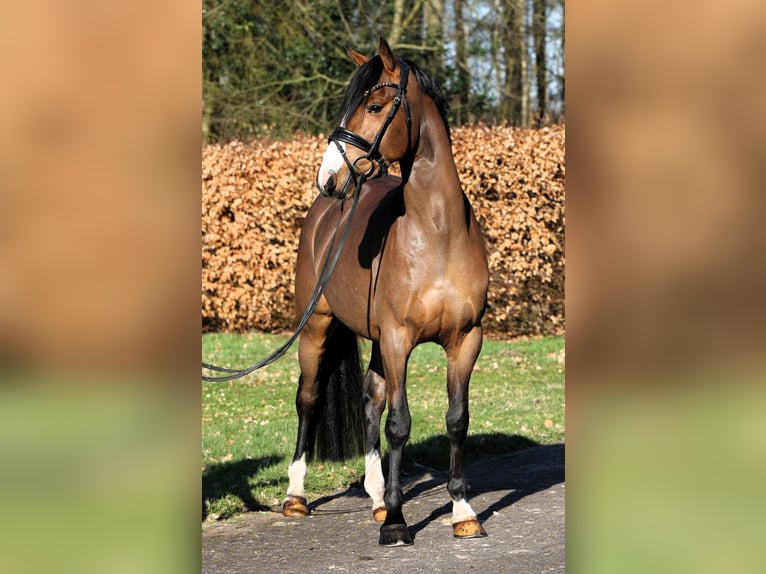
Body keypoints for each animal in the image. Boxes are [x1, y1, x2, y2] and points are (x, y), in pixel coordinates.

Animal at [281, 38, 490, 547]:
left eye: (374, 107)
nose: (329, 178)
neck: (437, 233)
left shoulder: (465, 340)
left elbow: (456, 420)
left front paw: (462, 511)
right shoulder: (398, 339)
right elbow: (399, 424)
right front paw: (397, 521)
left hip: (374, 338)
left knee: (370, 397)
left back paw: (376, 496)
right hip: (317, 328)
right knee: (309, 398)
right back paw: (297, 496)